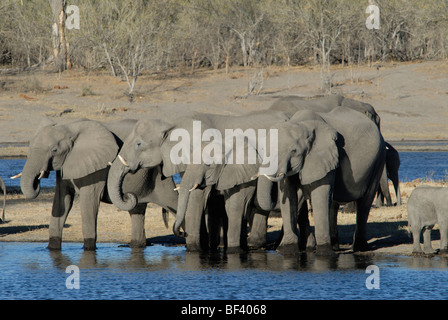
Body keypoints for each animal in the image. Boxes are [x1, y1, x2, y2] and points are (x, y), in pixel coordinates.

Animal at [14, 117, 178, 250]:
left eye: (54, 150)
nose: (39, 178)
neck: (69, 127)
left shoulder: (96, 167)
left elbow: (89, 201)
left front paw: (88, 249)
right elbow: (63, 201)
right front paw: (52, 249)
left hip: (159, 177)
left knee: (171, 201)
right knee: (137, 210)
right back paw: (136, 245)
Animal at [108, 110, 288, 252]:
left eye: (139, 144)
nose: (129, 196)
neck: (171, 123)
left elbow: (197, 196)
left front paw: (194, 249)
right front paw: (206, 247)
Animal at [256, 107, 384, 255]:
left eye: (293, 151)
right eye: (263, 148)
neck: (300, 124)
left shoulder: (326, 156)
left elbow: (319, 194)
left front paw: (324, 253)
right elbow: (289, 196)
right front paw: (288, 250)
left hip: (378, 161)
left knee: (365, 201)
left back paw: (359, 248)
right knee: (333, 202)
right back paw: (336, 246)